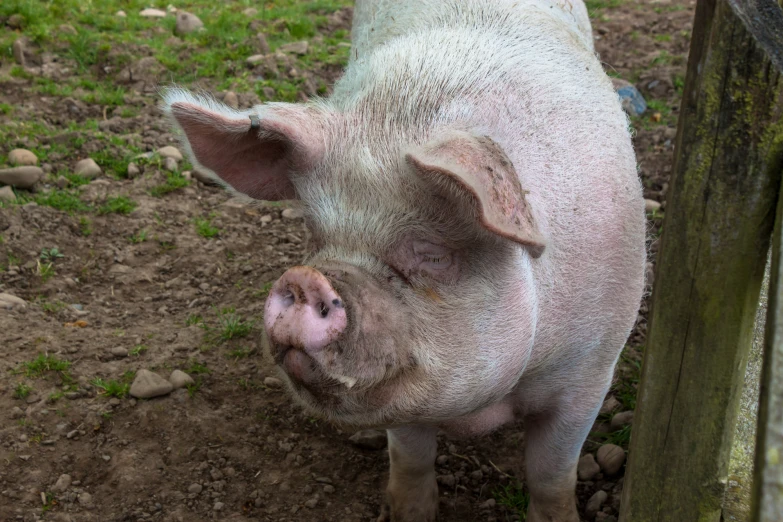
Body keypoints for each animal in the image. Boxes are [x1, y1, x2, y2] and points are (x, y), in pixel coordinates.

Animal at [162, 0, 648, 516]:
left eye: (432, 254)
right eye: (312, 231)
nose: (304, 279)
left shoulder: (592, 369)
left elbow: (551, 474)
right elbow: (411, 455)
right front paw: (406, 512)